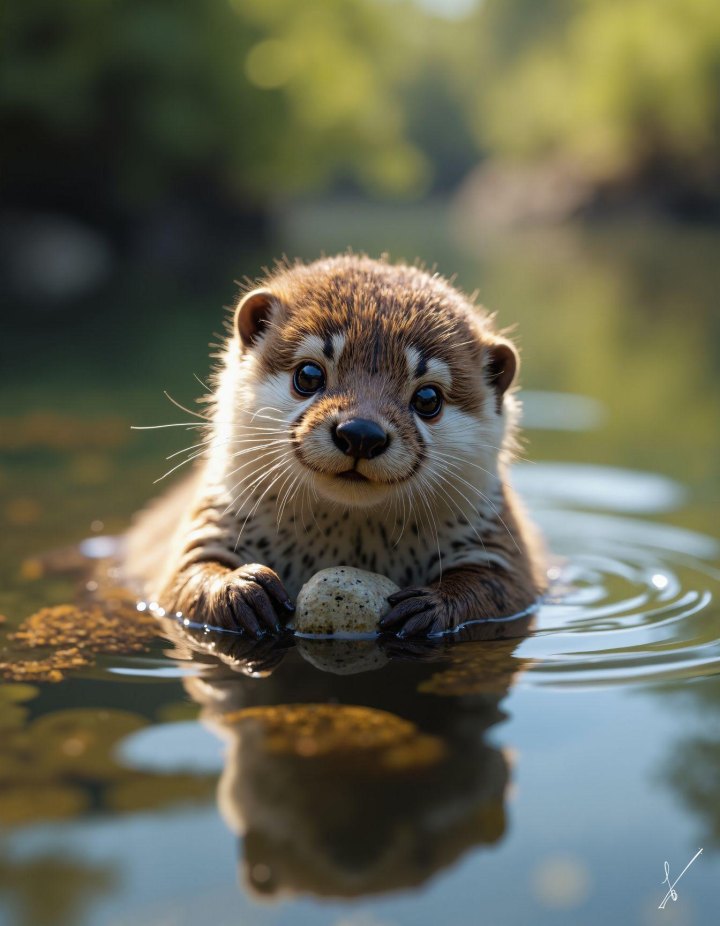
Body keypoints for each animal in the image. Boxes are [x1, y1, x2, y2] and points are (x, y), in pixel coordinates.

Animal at [125, 254, 544, 637]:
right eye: (308, 375)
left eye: (428, 398)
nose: (361, 433)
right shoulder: (209, 524)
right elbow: (184, 580)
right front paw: (241, 589)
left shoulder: (497, 545)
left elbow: (498, 588)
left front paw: (432, 605)